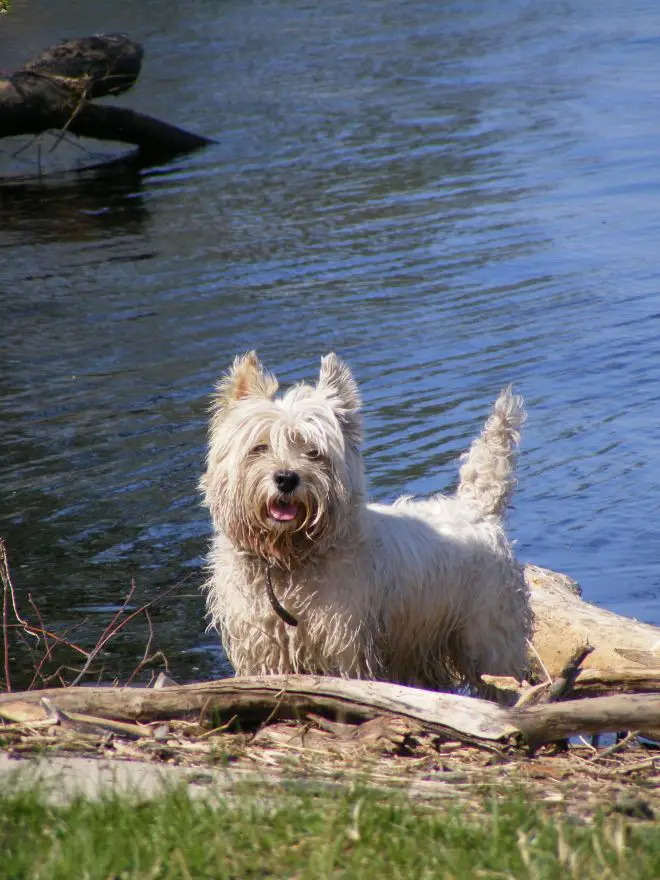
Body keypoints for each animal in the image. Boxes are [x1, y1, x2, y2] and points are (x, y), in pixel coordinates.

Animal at [201, 350, 532, 696]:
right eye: (260, 447)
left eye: (314, 452)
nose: (286, 478)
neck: (290, 559)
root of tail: (477, 508)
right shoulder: (262, 646)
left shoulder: (343, 643)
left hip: (489, 635)